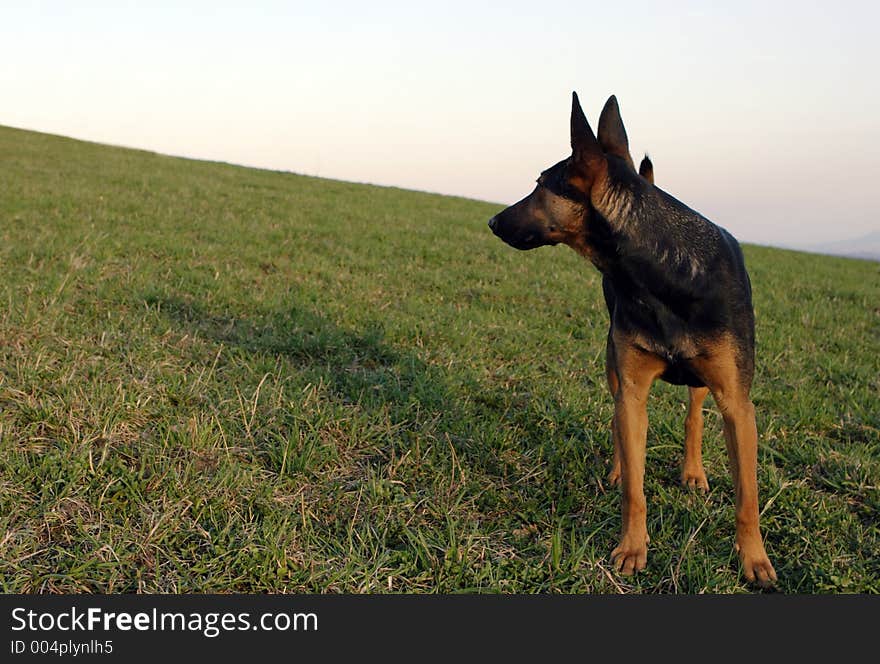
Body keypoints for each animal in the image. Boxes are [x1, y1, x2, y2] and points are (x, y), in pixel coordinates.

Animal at [488, 92, 776, 588]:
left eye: (540, 184)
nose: (491, 220)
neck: (659, 271)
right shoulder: (633, 386)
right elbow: (636, 489)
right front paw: (632, 549)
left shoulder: (738, 404)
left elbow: (748, 498)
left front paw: (754, 560)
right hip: (614, 369)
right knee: (618, 422)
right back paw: (620, 469)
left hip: (705, 384)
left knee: (694, 416)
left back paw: (693, 472)